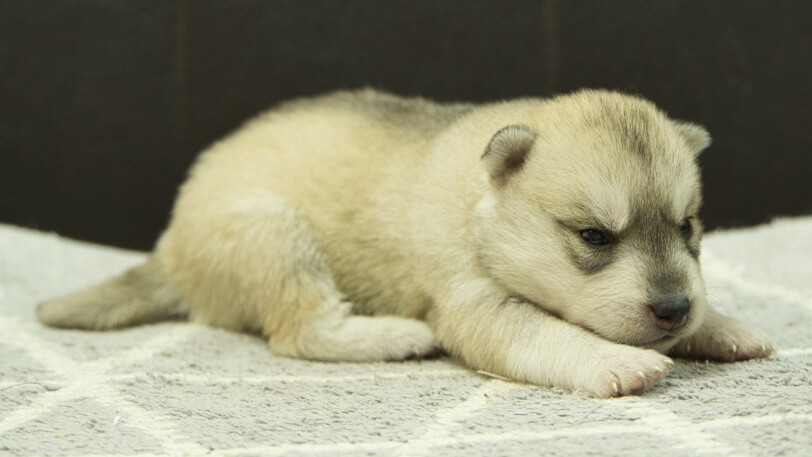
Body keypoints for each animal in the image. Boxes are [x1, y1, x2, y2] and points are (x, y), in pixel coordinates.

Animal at [38, 88, 772, 396]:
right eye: (593, 235)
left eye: (688, 227)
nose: (674, 309)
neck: (481, 203)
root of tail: (170, 247)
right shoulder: (475, 307)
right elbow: (551, 335)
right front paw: (615, 362)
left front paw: (723, 325)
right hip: (272, 232)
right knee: (300, 331)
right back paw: (394, 335)